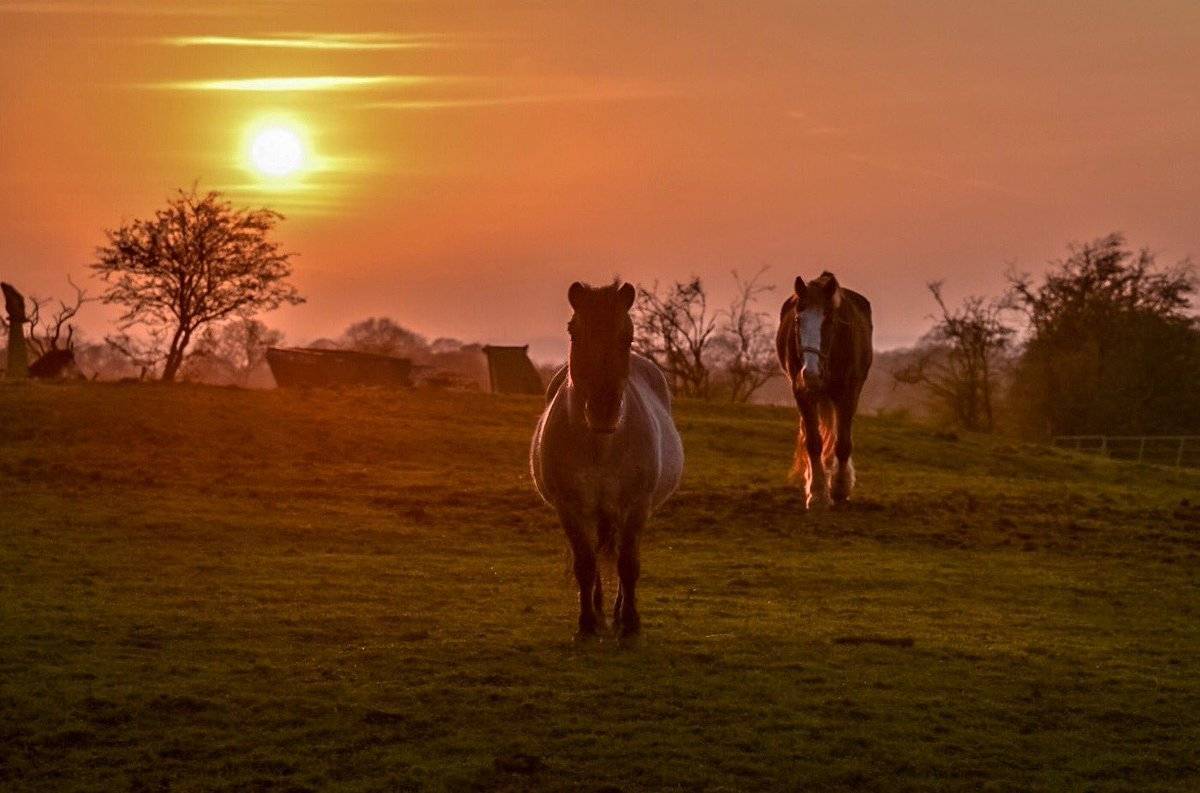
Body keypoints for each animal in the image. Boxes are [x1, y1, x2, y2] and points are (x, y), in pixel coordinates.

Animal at [777, 271, 873, 506]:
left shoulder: (848, 393)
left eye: (828, 319)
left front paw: (839, 488)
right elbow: (813, 442)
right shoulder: (802, 393)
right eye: (798, 319)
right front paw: (818, 490)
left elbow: (843, 442)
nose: (811, 373)